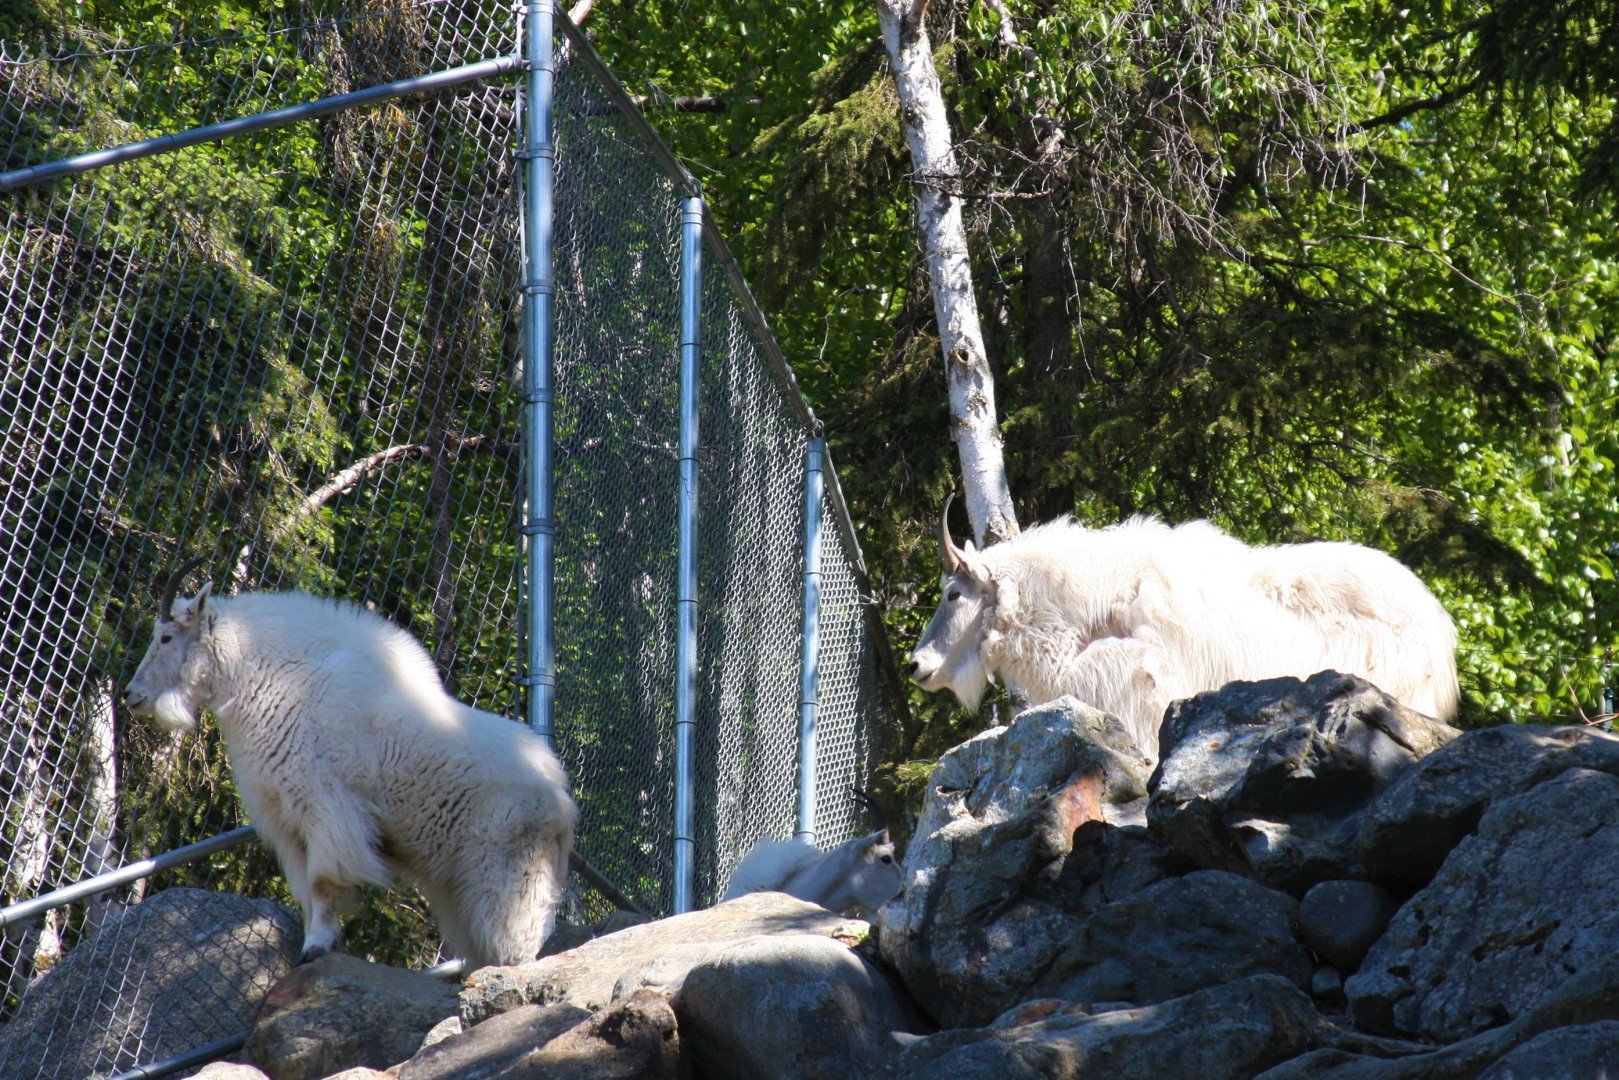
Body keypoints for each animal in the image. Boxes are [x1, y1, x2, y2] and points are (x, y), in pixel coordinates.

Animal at [122, 561, 577, 970]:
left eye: (165, 636)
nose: (131, 694)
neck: (265, 677)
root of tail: (561, 799)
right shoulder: (285, 822)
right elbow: (305, 894)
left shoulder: (326, 807)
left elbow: (323, 882)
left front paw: (316, 948)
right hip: (459, 885)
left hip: (507, 875)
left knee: (515, 944)